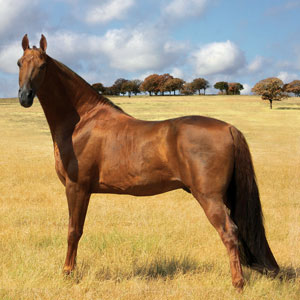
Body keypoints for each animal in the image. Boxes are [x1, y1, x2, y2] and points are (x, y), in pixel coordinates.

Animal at [17, 34, 278, 290]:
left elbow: (74, 231)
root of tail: (228, 128)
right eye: (20, 63)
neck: (83, 122)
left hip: (210, 197)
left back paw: (238, 283)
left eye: (42, 66)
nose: (24, 97)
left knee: (229, 232)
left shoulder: (77, 188)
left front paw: (67, 272)